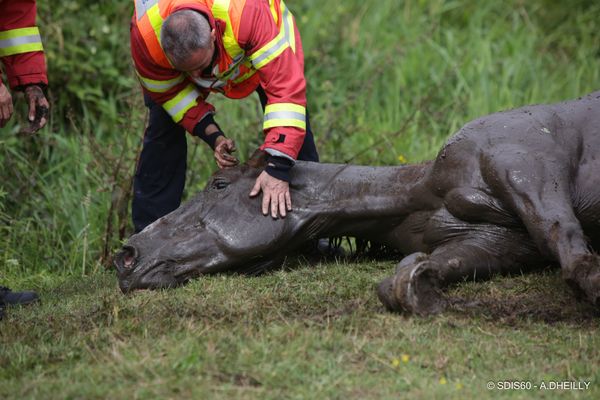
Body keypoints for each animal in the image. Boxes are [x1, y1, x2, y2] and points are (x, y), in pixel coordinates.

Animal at [115, 91, 600, 316]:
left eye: (218, 184)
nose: (127, 256)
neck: (422, 190)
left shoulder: (530, 170)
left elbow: (574, 258)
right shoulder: (499, 243)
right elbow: (426, 268)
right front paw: (420, 287)